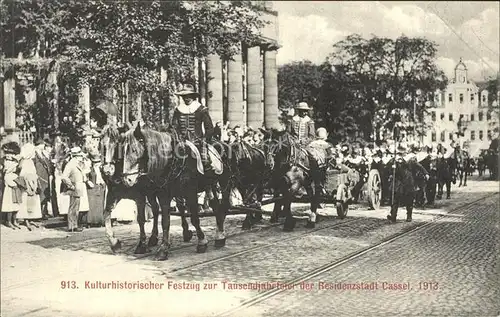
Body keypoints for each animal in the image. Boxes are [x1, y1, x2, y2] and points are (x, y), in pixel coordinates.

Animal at [121, 123, 230, 260]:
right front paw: (161, 248)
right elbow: (163, 220)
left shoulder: (190, 192)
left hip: (222, 182)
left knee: (220, 205)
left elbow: (194, 218)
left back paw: (220, 236)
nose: (127, 180)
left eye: (134, 150)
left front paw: (202, 242)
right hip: (208, 185)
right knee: (212, 205)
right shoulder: (160, 194)